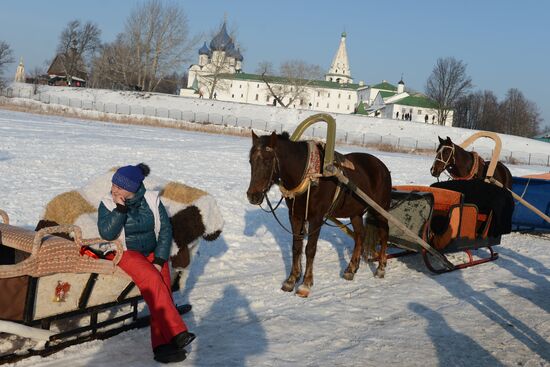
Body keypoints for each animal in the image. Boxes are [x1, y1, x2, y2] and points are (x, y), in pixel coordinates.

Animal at [246, 131, 392, 298]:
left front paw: (305, 284)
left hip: (380, 210)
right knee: (360, 236)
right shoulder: (295, 216)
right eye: (250, 161)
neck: (308, 174)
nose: (252, 196)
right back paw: (351, 269)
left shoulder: (316, 218)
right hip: (355, 213)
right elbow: (296, 247)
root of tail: (381, 166)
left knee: (384, 233)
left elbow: (310, 249)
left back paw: (381, 268)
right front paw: (291, 280)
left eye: (267, 161)